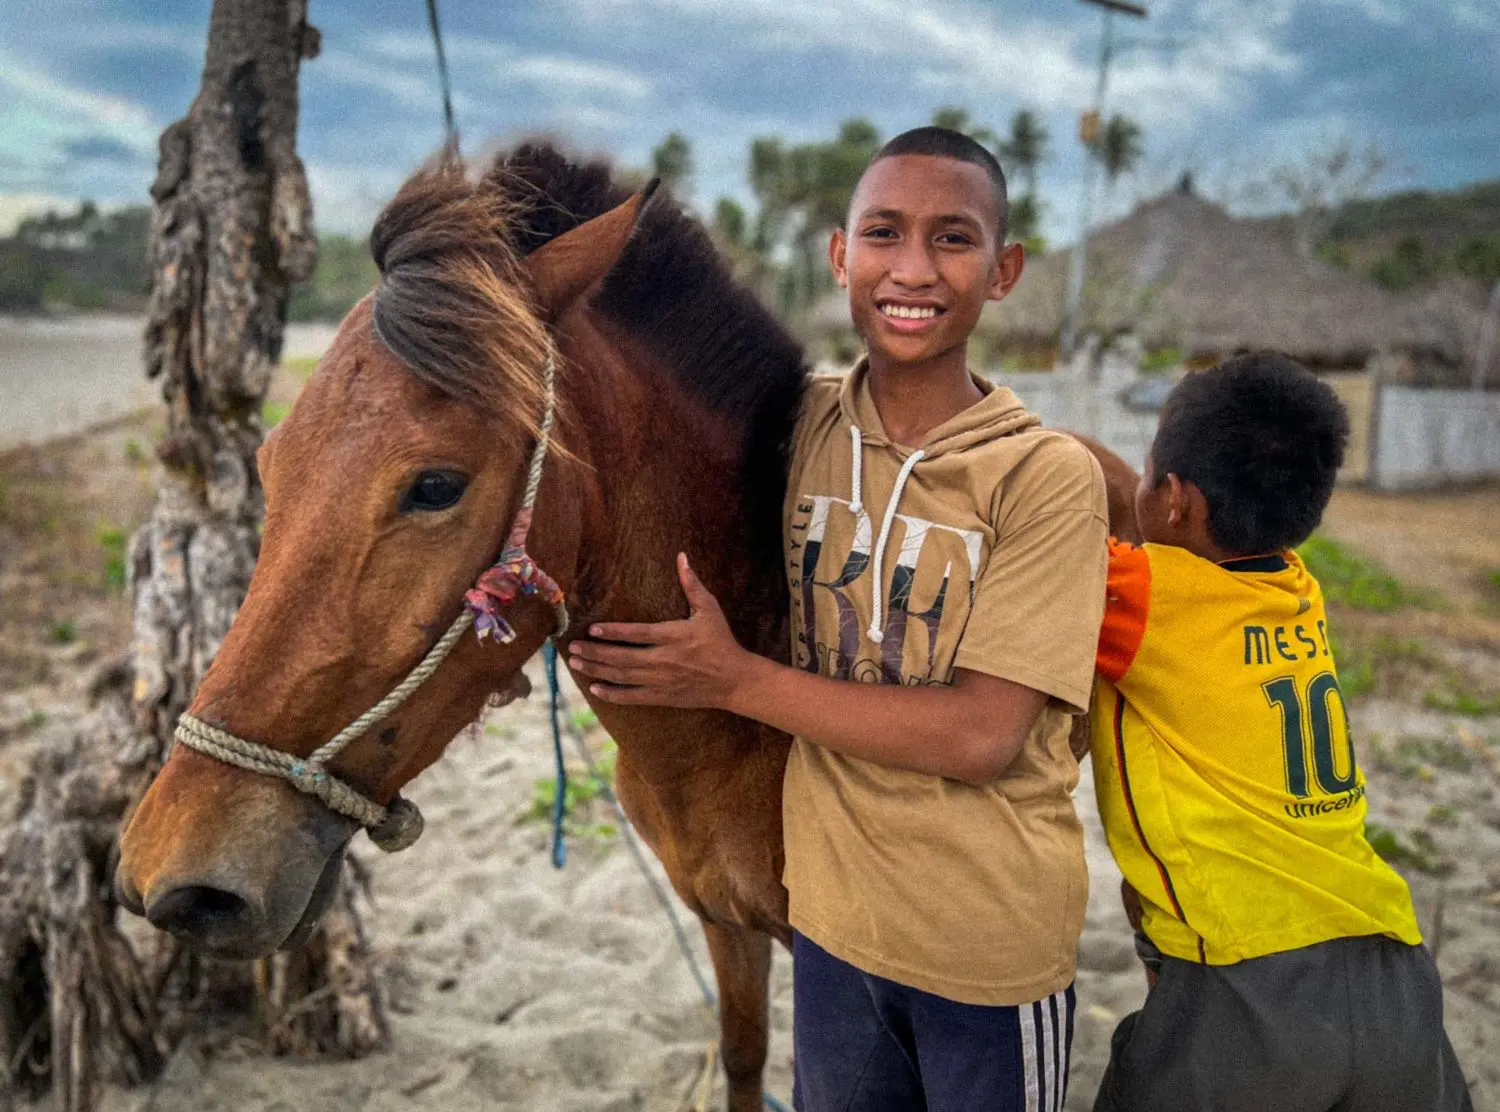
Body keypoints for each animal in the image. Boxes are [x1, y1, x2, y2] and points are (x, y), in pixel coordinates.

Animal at [120, 143, 1134, 1104]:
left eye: (436, 485)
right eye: (270, 465)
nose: (173, 876)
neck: (726, 743)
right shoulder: (726, 923)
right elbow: (741, 1059)